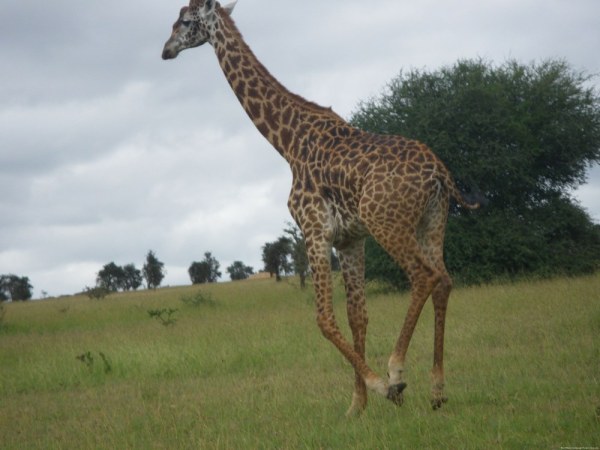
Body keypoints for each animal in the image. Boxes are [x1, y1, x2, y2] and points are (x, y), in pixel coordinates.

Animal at [162, 0, 480, 414]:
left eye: (185, 21)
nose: (166, 50)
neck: (288, 143)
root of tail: (440, 172)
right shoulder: (349, 238)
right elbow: (357, 316)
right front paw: (357, 405)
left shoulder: (314, 229)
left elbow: (324, 319)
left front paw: (381, 387)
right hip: (433, 221)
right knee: (444, 280)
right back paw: (438, 390)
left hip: (387, 221)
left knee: (424, 277)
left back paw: (397, 370)